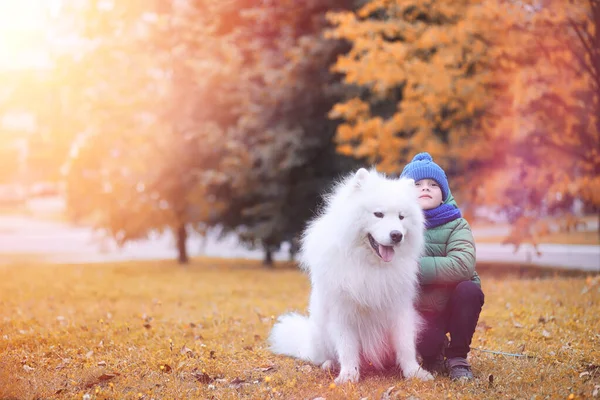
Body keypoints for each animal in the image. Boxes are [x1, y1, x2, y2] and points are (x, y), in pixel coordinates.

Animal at [268, 167, 432, 382]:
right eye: (378, 214)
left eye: (401, 217)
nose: (397, 235)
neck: (370, 266)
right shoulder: (342, 312)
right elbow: (346, 348)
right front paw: (348, 376)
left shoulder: (399, 309)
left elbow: (405, 345)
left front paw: (414, 372)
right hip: (321, 333)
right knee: (326, 356)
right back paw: (329, 365)